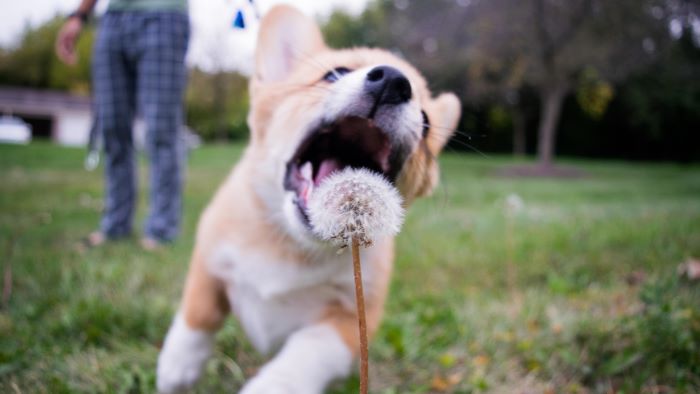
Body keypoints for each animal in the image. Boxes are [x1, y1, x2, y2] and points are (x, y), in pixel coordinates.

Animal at [157, 4, 462, 392]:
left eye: (425, 122)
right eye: (334, 74)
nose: (393, 81)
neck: (292, 244)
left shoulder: (348, 320)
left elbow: (305, 354)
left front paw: (268, 386)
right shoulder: (208, 261)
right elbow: (199, 312)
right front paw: (177, 368)